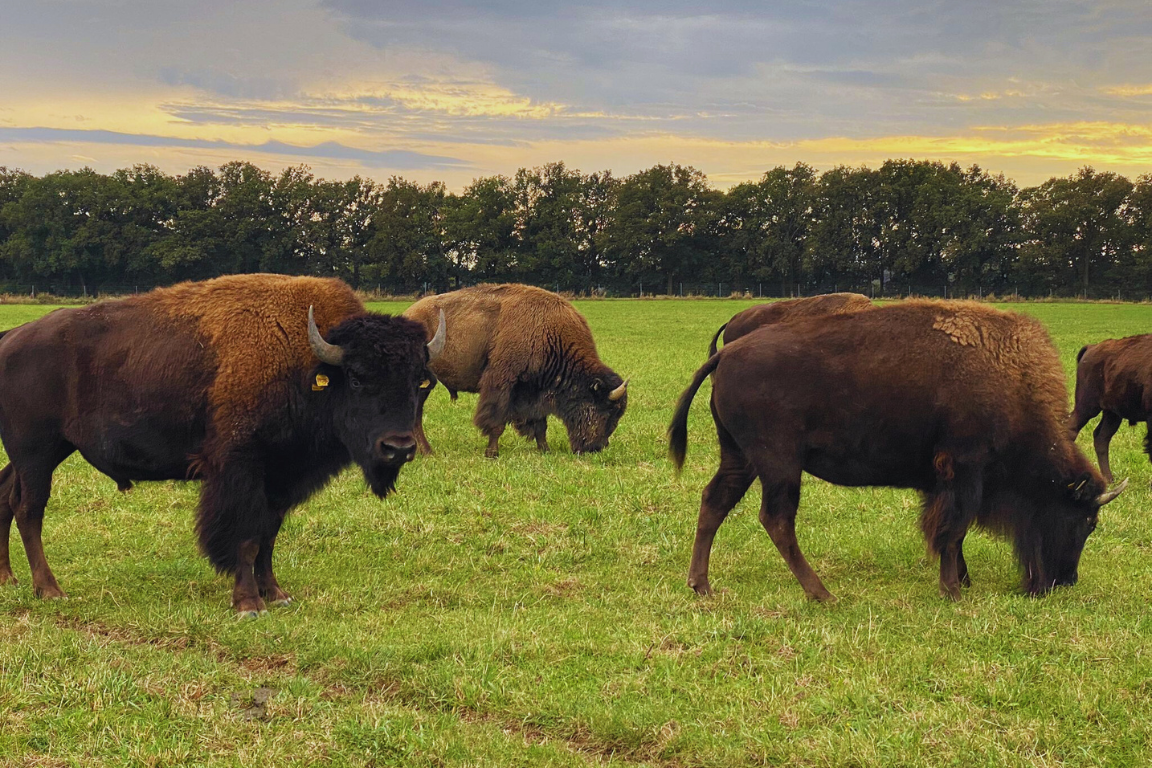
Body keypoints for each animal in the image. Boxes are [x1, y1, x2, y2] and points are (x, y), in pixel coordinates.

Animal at [0, 272, 444, 617]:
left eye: (417, 379)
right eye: (355, 377)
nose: (398, 447)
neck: (303, 361)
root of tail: (11, 338)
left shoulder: (280, 478)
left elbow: (268, 536)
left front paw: (276, 594)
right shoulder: (240, 470)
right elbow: (245, 537)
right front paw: (248, 603)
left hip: (44, 452)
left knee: (6, 495)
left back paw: (9, 578)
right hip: (36, 452)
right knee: (29, 508)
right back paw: (50, 590)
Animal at [400, 285, 626, 460]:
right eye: (607, 409)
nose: (596, 448)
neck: (549, 333)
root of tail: (408, 314)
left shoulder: (535, 391)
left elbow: (540, 424)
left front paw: (545, 450)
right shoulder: (502, 384)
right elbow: (497, 422)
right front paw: (492, 453)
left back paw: (424, 451)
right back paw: (427, 451)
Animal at [668, 299, 1124, 598]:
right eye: (1086, 522)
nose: (1064, 581)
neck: (1007, 378)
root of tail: (726, 353)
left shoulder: (942, 480)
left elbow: (947, 531)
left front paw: (960, 580)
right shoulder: (964, 470)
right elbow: (953, 530)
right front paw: (953, 590)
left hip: (742, 458)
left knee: (715, 501)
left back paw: (701, 585)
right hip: (779, 464)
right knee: (776, 519)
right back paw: (822, 593)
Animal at [1064, 333, 1152, 483]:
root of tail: (1091, 348)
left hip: (1112, 413)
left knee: (1101, 437)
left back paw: (1108, 479)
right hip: (1086, 407)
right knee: (1071, 429)